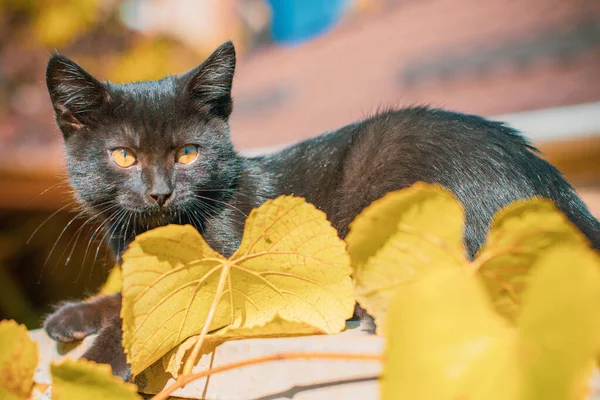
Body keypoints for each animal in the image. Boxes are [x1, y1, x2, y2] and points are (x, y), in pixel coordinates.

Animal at [42, 41, 600, 382]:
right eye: (123, 156)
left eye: (187, 154)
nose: (159, 193)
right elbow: (132, 296)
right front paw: (71, 316)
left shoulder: (228, 273)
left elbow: (155, 312)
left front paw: (92, 366)